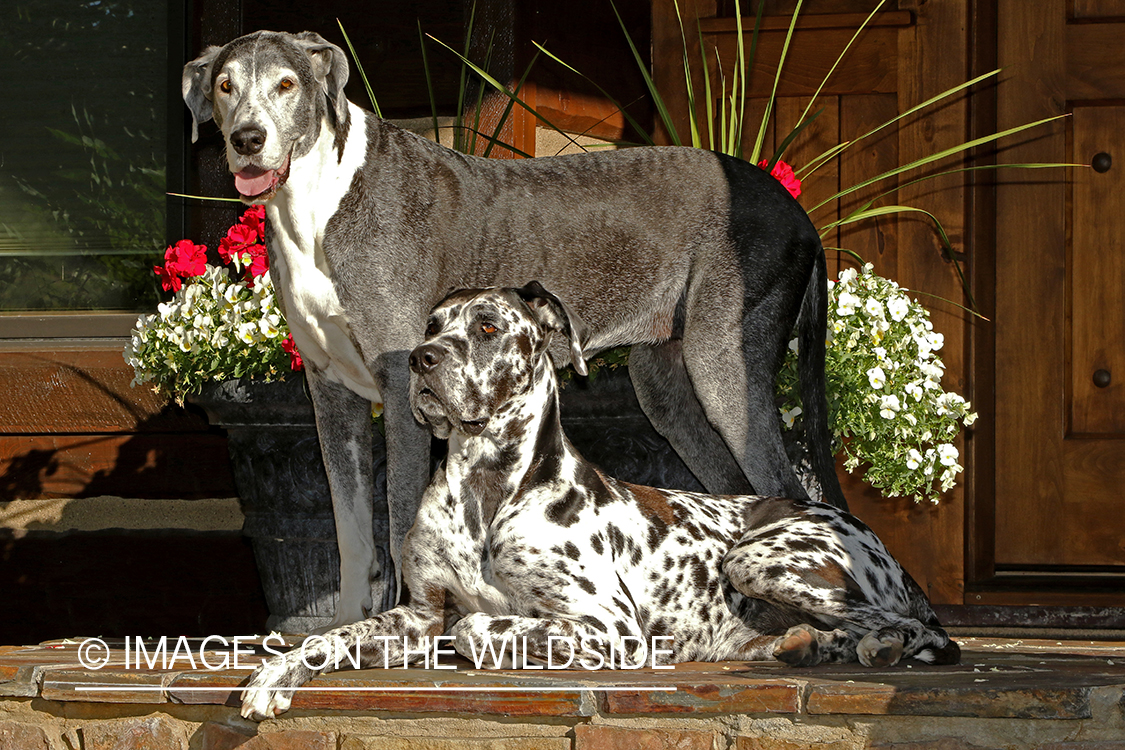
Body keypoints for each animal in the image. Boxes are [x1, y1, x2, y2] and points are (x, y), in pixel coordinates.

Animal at [182, 30, 846, 629]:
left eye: (286, 84)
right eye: (224, 85)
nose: (246, 139)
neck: (317, 201)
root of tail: (799, 215)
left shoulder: (400, 391)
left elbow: (396, 521)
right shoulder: (331, 394)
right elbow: (350, 529)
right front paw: (342, 622)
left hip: (722, 368)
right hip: (666, 387)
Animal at [237, 281, 958, 719]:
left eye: (489, 326)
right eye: (432, 324)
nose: (420, 359)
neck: (485, 492)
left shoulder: (610, 623)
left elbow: (478, 626)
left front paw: (503, 641)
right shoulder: (415, 616)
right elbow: (331, 635)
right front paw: (275, 674)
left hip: (759, 560)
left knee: (916, 630)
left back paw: (877, 645)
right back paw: (803, 645)